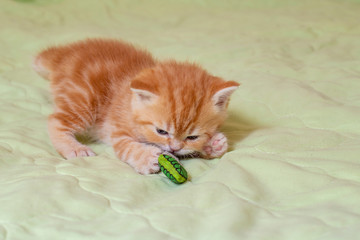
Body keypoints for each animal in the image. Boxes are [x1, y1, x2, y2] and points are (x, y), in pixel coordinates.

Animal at [33, 39, 239, 174]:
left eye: (192, 136)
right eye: (161, 131)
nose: (173, 149)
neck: (129, 100)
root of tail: (65, 54)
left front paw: (214, 145)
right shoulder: (117, 130)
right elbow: (127, 147)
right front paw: (147, 157)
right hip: (83, 99)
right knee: (55, 121)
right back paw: (74, 148)